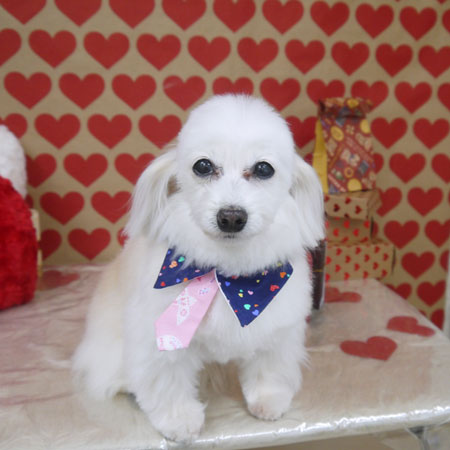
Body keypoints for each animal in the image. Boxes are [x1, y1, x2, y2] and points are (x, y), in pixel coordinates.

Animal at [72, 95, 324, 442]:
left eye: (264, 169)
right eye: (202, 166)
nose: (231, 216)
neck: (226, 276)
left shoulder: (277, 329)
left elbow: (269, 369)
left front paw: (268, 400)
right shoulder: (158, 338)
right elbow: (167, 382)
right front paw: (179, 421)